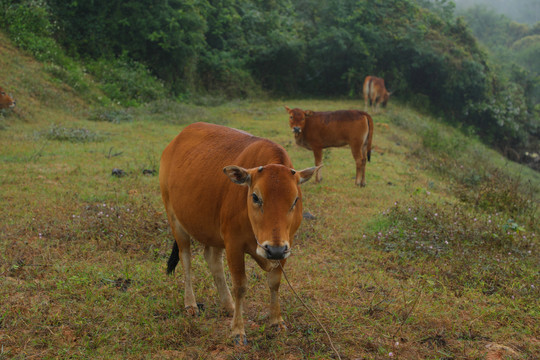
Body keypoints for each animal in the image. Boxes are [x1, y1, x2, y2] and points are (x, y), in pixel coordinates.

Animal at [160, 122, 320, 344]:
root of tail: (174, 143)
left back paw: (228, 305)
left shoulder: (286, 245)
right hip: (176, 221)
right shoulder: (234, 244)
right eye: (255, 197)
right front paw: (237, 330)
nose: (273, 250)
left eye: (296, 199)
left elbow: (275, 282)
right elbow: (240, 286)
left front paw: (276, 320)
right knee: (186, 261)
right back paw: (191, 304)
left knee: (213, 260)